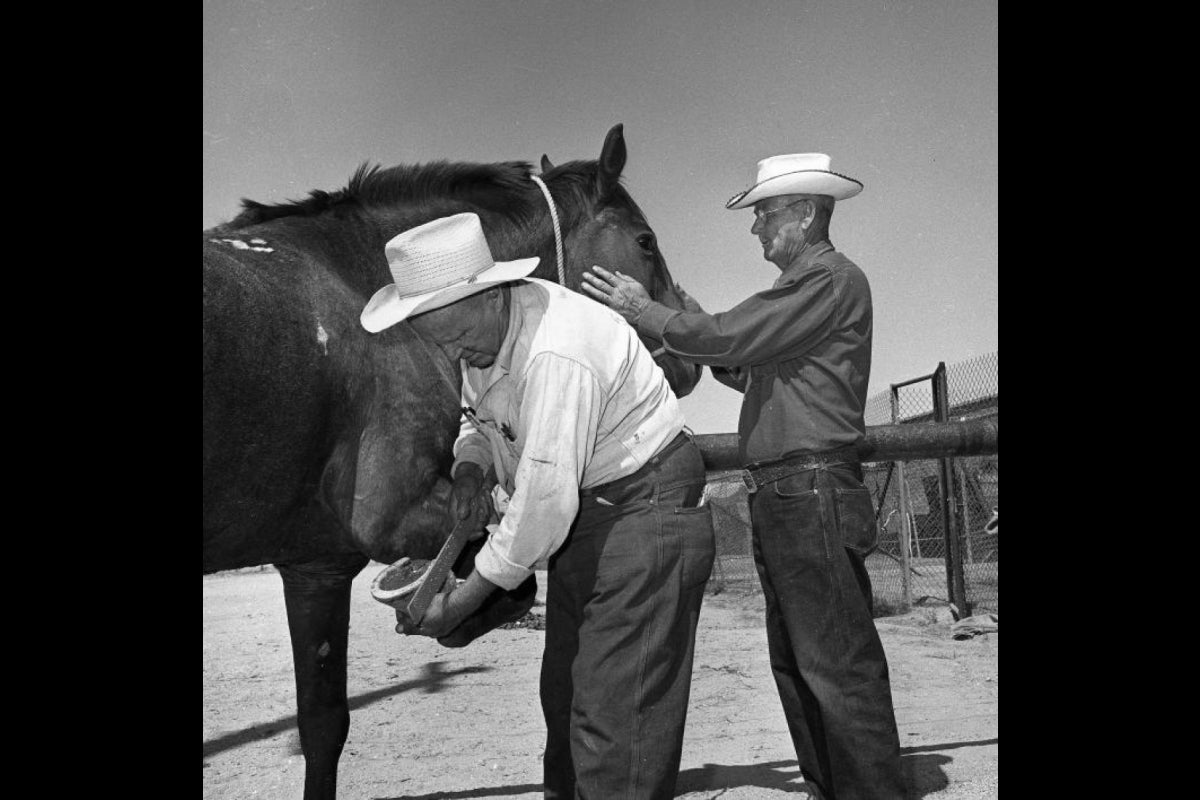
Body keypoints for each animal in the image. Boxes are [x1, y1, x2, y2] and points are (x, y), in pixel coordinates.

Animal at [204, 125, 700, 800]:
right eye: (646, 241)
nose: (689, 360)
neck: (356, 284)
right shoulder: (389, 519)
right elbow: (500, 559)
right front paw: (460, 611)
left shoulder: (315, 565)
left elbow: (322, 723)